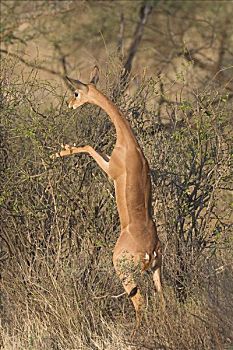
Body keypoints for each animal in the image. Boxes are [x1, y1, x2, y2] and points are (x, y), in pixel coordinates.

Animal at [54, 67, 164, 330]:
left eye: (76, 92)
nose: (69, 103)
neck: (129, 144)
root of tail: (150, 250)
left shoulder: (110, 170)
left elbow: (88, 146)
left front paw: (61, 151)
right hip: (157, 270)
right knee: (165, 300)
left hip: (125, 274)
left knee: (140, 304)